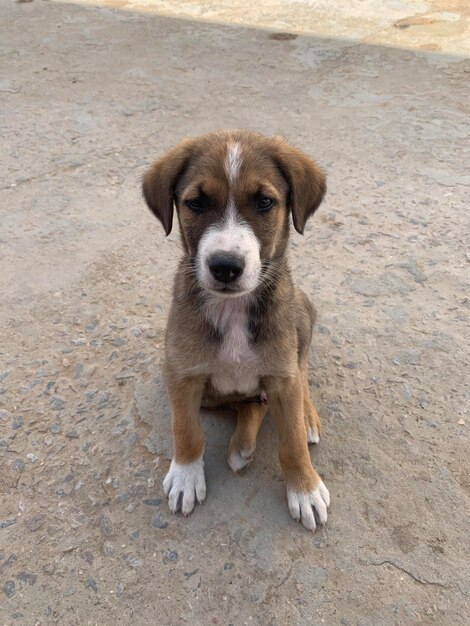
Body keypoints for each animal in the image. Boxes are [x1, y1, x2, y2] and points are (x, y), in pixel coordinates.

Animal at [143, 129, 330, 528]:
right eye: (195, 204)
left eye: (264, 202)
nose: (225, 266)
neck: (232, 309)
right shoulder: (181, 372)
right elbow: (186, 430)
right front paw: (185, 475)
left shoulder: (282, 374)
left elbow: (291, 441)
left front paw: (305, 489)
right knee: (250, 403)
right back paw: (241, 446)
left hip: (302, 314)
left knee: (300, 371)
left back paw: (305, 416)